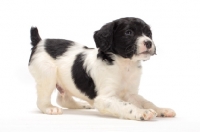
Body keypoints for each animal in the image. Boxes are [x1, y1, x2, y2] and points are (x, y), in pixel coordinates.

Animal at [28, 17, 176, 120]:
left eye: (148, 33)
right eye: (128, 32)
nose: (149, 42)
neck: (125, 64)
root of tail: (40, 42)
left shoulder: (131, 93)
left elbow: (146, 102)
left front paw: (161, 110)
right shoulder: (105, 98)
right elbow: (126, 106)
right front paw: (142, 112)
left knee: (63, 99)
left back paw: (82, 104)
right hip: (47, 75)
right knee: (42, 101)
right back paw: (50, 108)